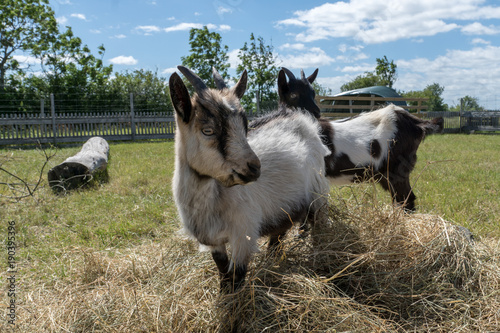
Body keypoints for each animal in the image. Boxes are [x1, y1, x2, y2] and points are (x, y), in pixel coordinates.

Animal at [170, 65, 330, 290]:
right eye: (208, 130)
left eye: (245, 127)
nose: (254, 167)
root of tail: (297, 116)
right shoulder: (214, 241)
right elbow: (223, 271)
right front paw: (224, 293)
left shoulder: (243, 233)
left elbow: (237, 275)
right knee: (280, 231)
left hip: (317, 192)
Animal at [278, 67, 446, 210]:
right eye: (293, 95)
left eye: (313, 93)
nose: (315, 114)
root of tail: (416, 123)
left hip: (397, 170)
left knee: (406, 200)